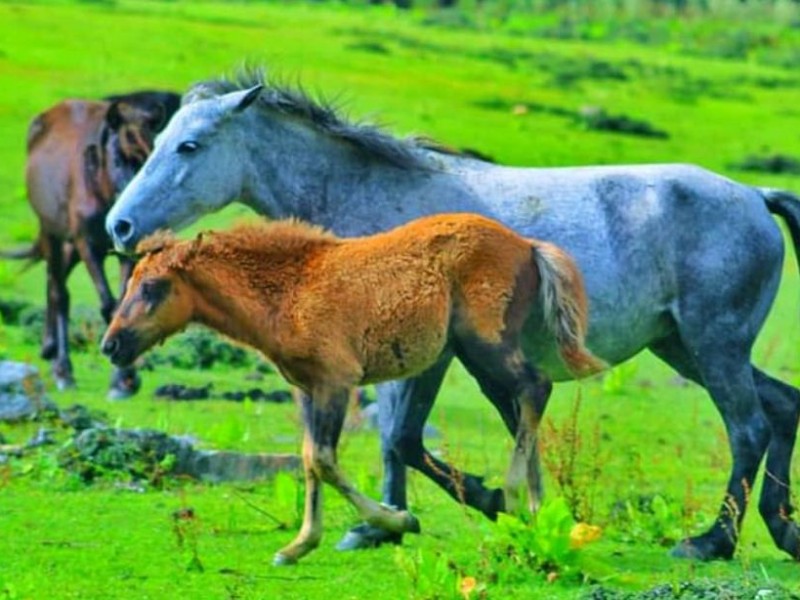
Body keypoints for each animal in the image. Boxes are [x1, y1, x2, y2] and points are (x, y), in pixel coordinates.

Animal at [2, 91, 180, 396]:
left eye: (150, 160)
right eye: (117, 160)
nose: (127, 218)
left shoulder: (124, 253)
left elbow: (123, 303)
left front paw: (125, 380)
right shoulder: (87, 244)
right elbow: (107, 304)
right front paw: (120, 380)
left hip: (69, 245)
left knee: (55, 280)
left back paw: (49, 348)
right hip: (54, 233)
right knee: (59, 292)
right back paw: (63, 369)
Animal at [98, 214, 600, 564]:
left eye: (154, 286)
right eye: (130, 282)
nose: (111, 345)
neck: (288, 292)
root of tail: (528, 246)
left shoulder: (336, 380)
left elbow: (323, 459)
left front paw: (397, 519)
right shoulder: (305, 387)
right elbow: (308, 459)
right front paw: (300, 544)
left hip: (486, 344)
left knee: (535, 388)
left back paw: (512, 497)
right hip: (475, 357)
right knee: (518, 410)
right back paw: (533, 512)